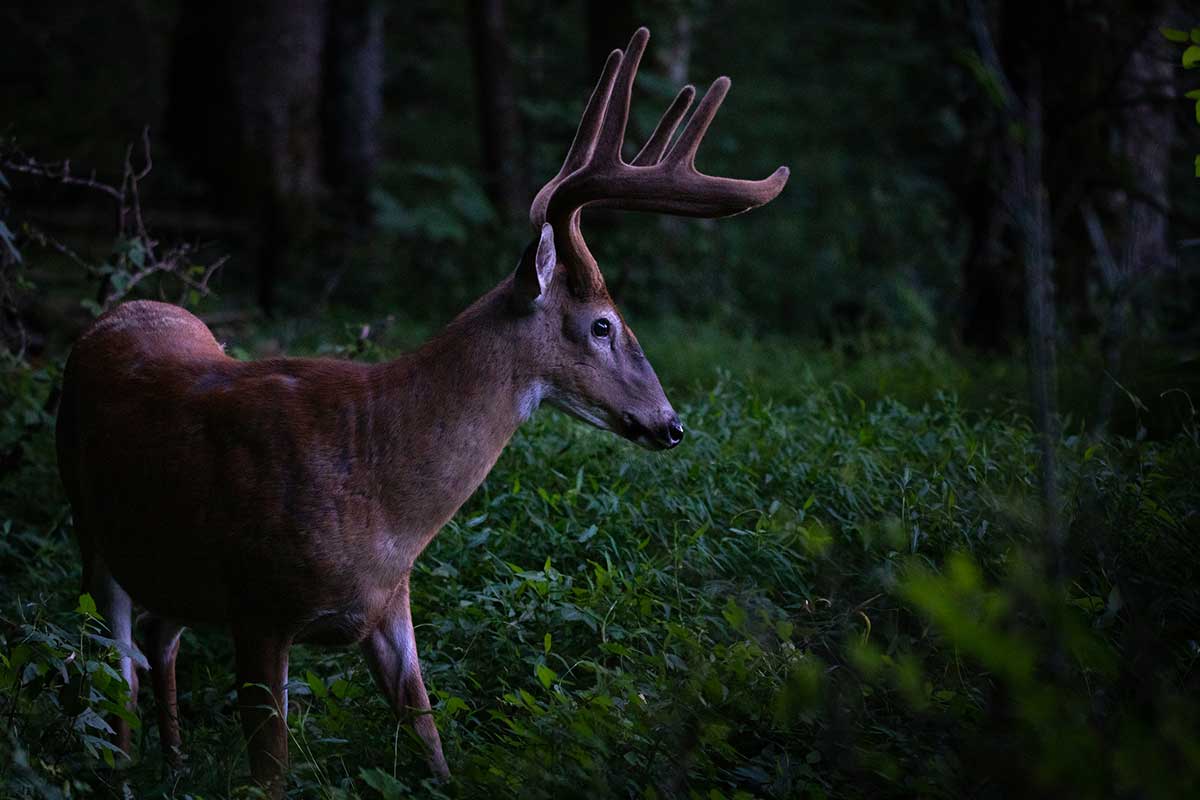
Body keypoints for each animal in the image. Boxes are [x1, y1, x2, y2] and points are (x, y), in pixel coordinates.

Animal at [54, 26, 787, 796]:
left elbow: (432, 744)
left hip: (171, 565)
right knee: (115, 666)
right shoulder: (258, 608)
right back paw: (124, 766)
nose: (671, 423)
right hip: (89, 527)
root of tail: (111, 316)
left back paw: (173, 762)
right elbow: (271, 773)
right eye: (602, 325)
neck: (379, 499)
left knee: (156, 642)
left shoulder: (390, 605)